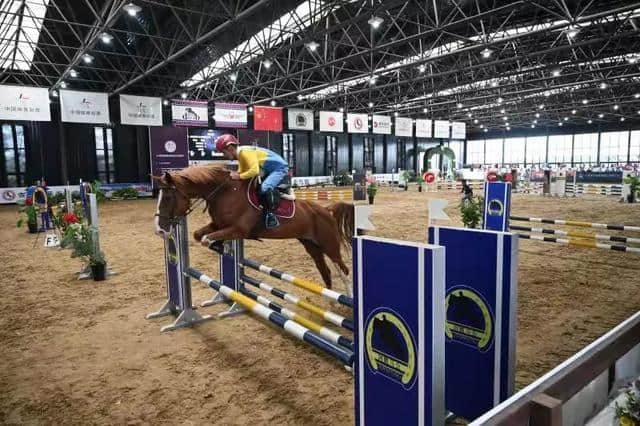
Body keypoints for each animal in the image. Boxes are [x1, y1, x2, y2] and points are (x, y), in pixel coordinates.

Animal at [154, 165, 356, 292]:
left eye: (168, 197)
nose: (160, 230)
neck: (223, 193)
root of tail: (327, 210)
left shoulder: (238, 229)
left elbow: (205, 238)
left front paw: (220, 246)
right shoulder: (218, 226)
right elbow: (199, 235)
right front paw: (220, 246)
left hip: (329, 244)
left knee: (343, 269)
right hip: (311, 245)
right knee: (327, 271)